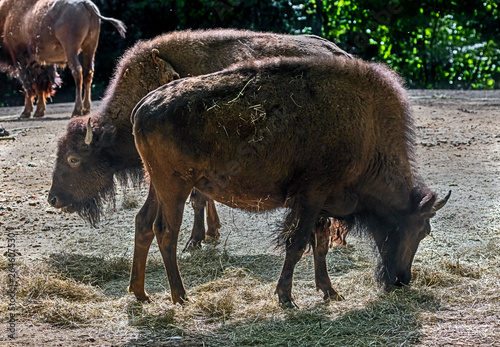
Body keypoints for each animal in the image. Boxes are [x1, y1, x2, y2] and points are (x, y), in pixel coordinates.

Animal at [47, 28, 352, 304]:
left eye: (73, 158)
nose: (53, 199)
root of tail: (340, 53)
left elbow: (199, 199)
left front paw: (197, 238)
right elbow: (201, 199)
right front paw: (208, 234)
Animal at [131, 56, 452, 308]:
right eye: (422, 230)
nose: (402, 280)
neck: (367, 132)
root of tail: (143, 106)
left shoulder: (321, 206)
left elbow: (319, 244)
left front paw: (329, 291)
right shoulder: (311, 198)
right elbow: (296, 244)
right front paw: (287, 297)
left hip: (156, 185)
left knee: (144, 223)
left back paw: (141, 294)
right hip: (175, 186)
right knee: (166, 232)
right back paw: (180, 296)